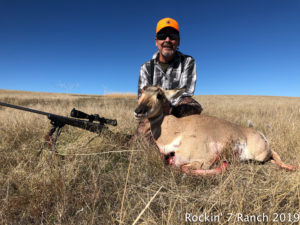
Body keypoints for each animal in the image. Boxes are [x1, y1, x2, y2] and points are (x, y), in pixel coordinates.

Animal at [135, 86, 298, 176]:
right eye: (141, 93)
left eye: (159, 95)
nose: (138, 111)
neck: (178, 128)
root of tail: (259, 133)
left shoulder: (202, 159)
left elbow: (184, 168)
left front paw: (223, 166)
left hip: (260, 154)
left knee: (274, 155)